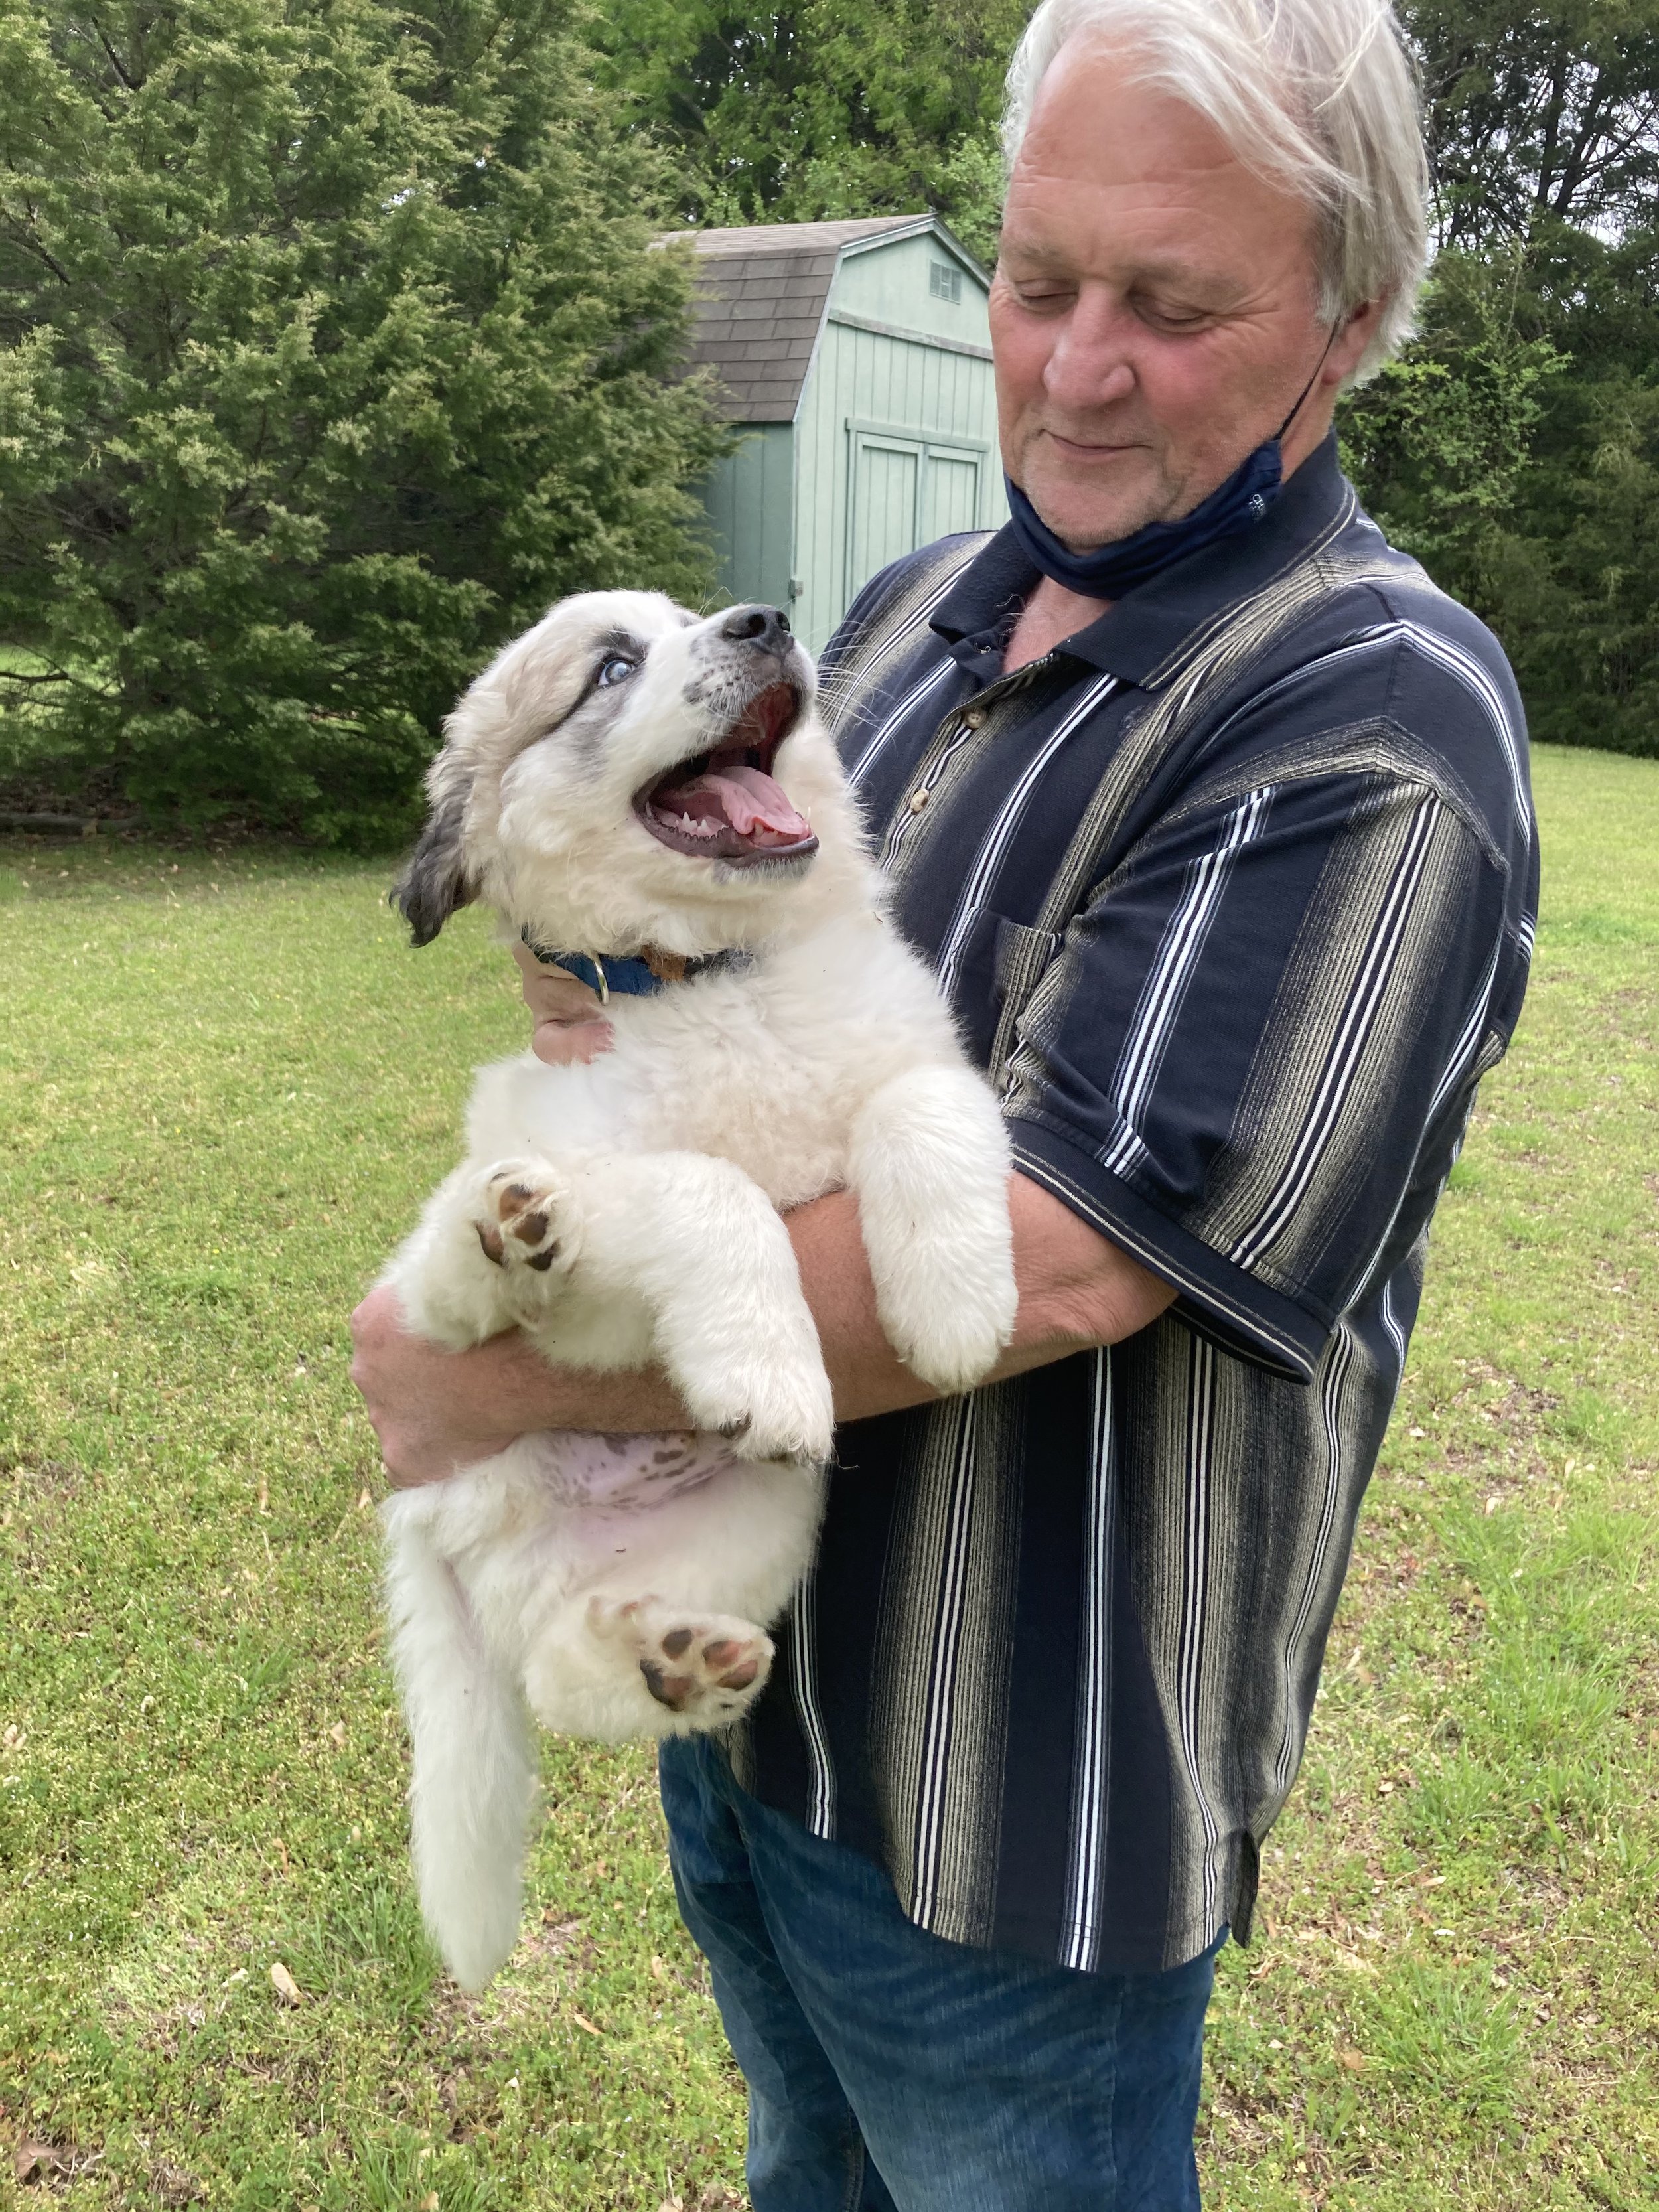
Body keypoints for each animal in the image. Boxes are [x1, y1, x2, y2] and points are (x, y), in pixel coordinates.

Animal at [382, 588, 1022, 1990]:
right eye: (611, 667)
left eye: (686, 620)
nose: (764, 620)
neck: (725, 978)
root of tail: (446, 1514)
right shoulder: (617, 1218)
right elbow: (708, 1189)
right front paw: (767, 1363)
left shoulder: (917, 1057)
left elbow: (926, 1109)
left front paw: (955, 1304)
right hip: (463, 1299)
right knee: (449, 1289)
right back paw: (509, 1226)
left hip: (754, 1525)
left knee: (569, 1667)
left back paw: (681, 1664)